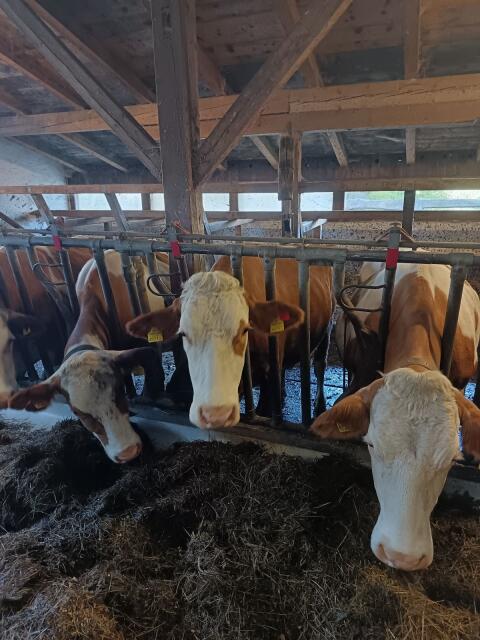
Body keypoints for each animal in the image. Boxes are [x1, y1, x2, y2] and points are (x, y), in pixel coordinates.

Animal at [126, 256, 335, 429]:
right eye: (183, 333)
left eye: (244, 330)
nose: (214, 413)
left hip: (327, 329)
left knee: (319, 365)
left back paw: (319, 407)